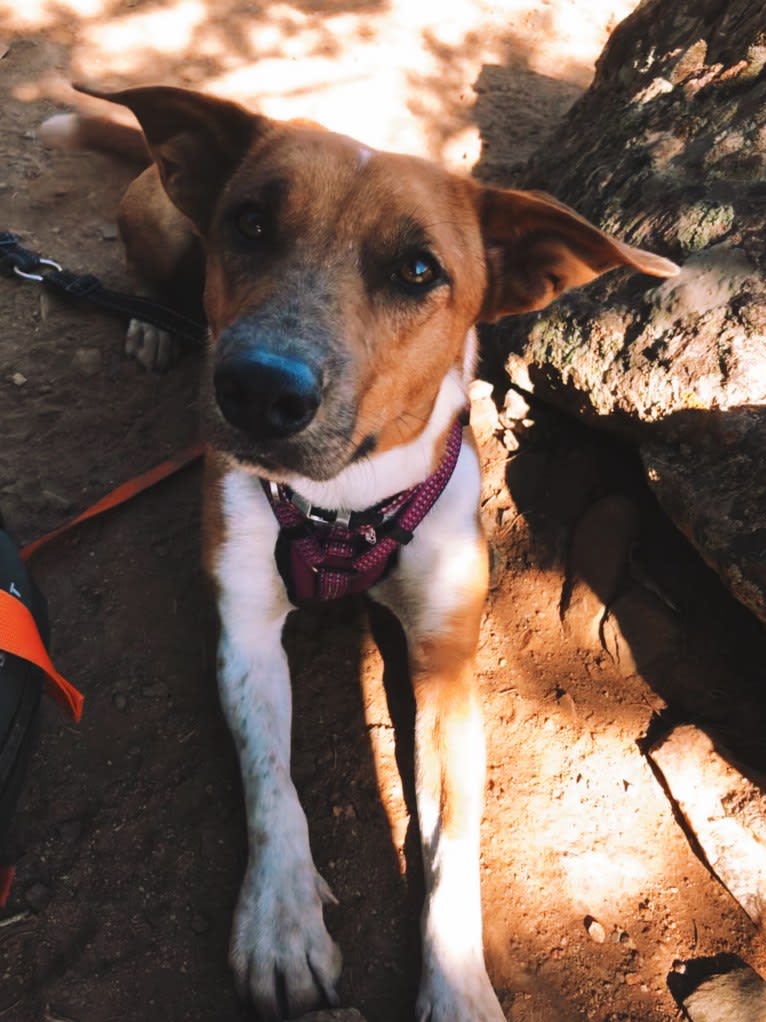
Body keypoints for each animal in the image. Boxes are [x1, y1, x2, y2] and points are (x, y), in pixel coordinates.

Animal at [40, 85, 678, 1021]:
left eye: (418, 271)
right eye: (251, 222)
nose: (258, 390)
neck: (344, 502)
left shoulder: (447, 664)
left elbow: (453, 846)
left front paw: (458, 987)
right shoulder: (246, 634)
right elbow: (272, 785)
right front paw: (281, 924)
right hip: (157, 230)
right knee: (146, 282)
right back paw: (153, 330)